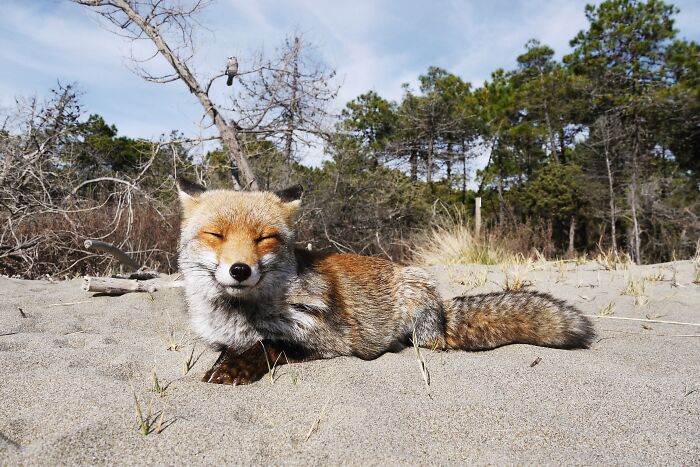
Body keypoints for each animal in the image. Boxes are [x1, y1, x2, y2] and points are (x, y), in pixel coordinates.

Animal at [177, 178, 595, 385]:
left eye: (263, 238)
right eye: (216, 235)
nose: (240, 270)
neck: (239, 315)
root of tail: (441, 309)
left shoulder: (326, 339)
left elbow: (266, 345)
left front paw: (235, 369)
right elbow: (233, 348)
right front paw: (225, 362)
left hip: (416, 297)